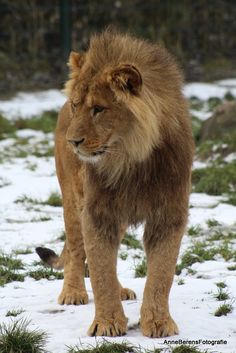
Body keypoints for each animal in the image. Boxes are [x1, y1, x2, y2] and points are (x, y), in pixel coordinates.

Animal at [36, 28, 195, 336]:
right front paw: (107, 323)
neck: (131, 161)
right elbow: (100, 271)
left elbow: (161, 273)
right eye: (76, 105)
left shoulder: (169, 213)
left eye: (98, 109)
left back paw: (121, 290)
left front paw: (159, 323)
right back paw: (73, 292)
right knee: (76, 249)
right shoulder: (96, 212)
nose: (72, 141)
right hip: (72, 200)